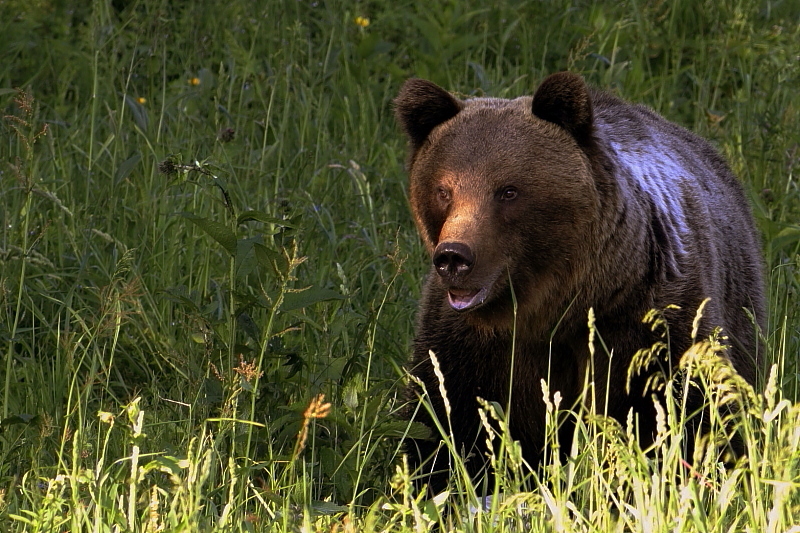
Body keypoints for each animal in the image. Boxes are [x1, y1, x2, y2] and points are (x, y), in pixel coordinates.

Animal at [396, 71, 764, 494]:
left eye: (508, 190)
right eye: (444, 189)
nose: (455, 257)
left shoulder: (649, 325)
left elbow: (688, 410)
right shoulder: (471, 347)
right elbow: (444, 419)